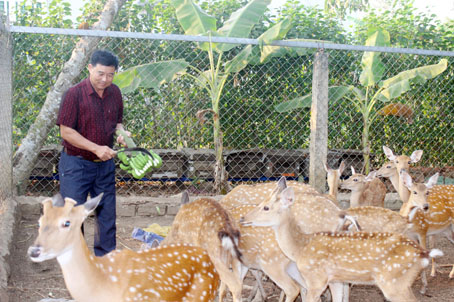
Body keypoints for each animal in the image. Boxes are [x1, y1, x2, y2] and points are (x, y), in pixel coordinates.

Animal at [241, 178, 444, 300]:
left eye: (266, 207)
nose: (243, 218)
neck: (301, 247)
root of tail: (423, 254)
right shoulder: (335, 280)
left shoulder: (316, 279)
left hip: (394, 283)